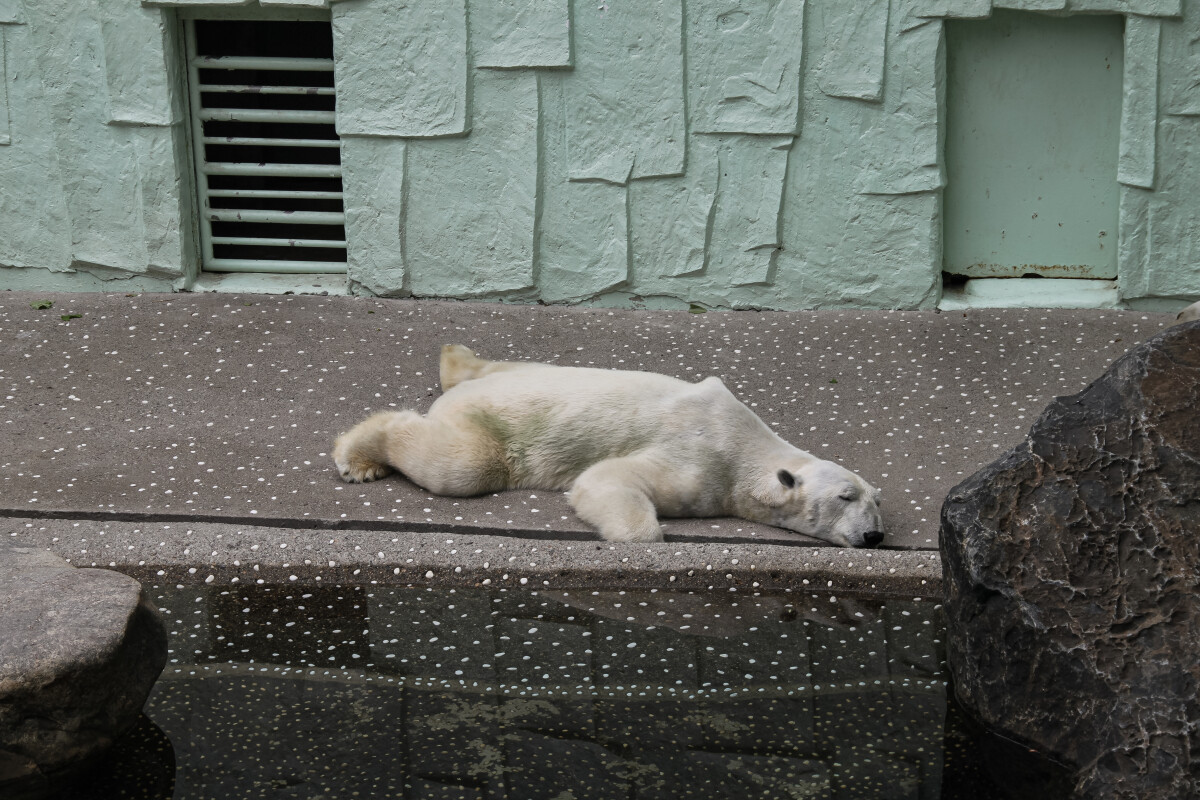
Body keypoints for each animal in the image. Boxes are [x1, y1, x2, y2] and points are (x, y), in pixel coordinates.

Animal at [333, 345, 888, 551]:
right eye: (845, 497)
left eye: (877, 501)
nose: (876, 536)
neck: (748, 449)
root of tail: (461, 396)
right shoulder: (704, 457)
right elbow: (608, 479)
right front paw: (637, 536)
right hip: (494, 428)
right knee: (460, 466)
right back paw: (357, 456)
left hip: (520, 374)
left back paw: (455, 359)